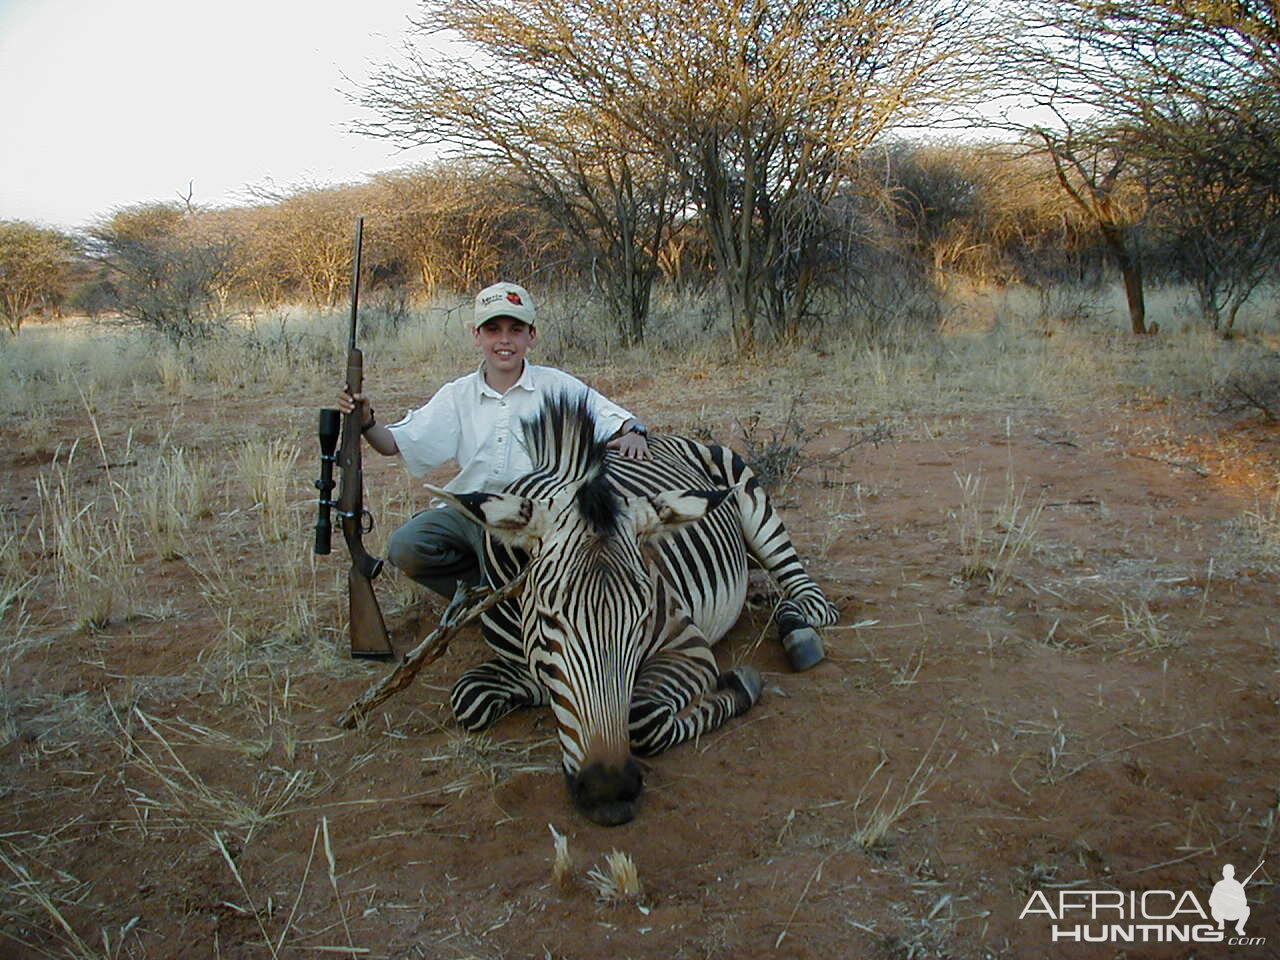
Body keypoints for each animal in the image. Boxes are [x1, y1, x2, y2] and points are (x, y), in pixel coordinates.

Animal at [427, 391, 839, 829]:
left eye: (641, 620)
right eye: (546, 620)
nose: (608, 792)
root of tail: (661, 435)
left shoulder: (687, 644)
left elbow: (642, 717)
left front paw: (739, 687)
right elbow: (469, 697)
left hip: (754, 506)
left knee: (808, 596)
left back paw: (798, 632)